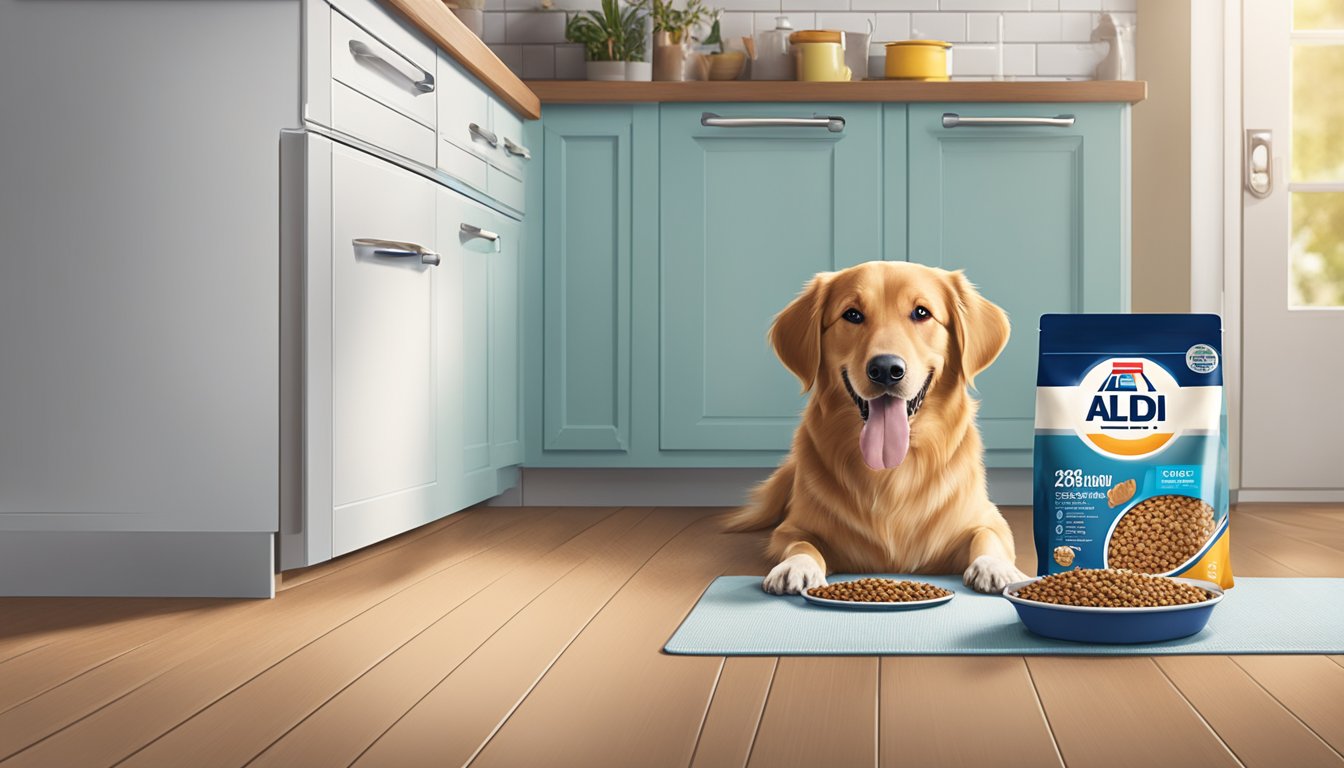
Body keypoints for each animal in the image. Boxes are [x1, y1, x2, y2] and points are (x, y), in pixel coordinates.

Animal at [725, 260, 1026, 597]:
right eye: (852, 314)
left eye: (921, 313)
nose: (885, 369)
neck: (891, 472)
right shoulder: (792, 528)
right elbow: (800, 543)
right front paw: (796, 566)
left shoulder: (989, 518)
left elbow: (988, 536)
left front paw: (993, 566)